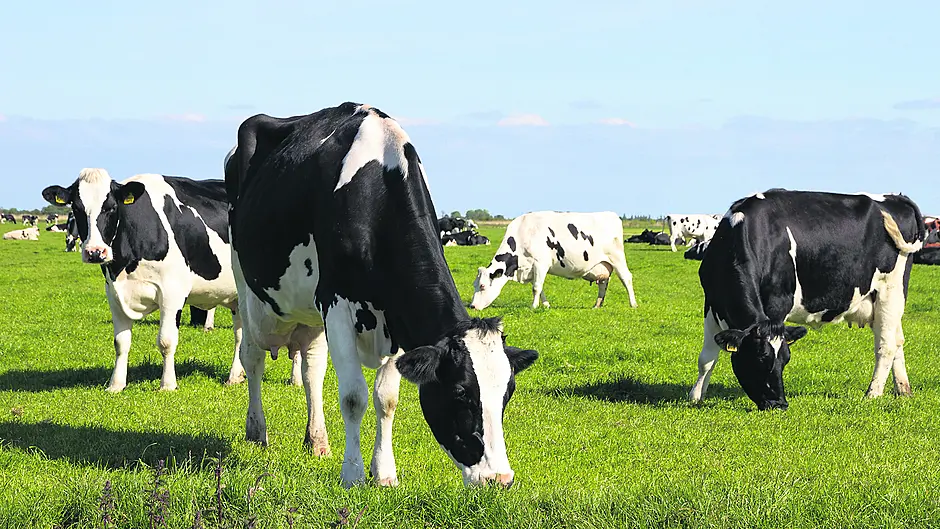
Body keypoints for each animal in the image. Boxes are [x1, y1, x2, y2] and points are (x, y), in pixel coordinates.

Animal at [41, 169, 247, 392]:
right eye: (77, 208)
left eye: (111, 207)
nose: (95, 252)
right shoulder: (114, 294)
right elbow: (120, 342)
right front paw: (116, 385)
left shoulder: (172, 292)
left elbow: (166, 341)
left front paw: (167, 385)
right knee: (241, 334)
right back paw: (235, 376)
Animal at [225, 102, 539, 488]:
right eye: (460, 393)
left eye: (508, 393)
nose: (500, 478)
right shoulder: (335, 303)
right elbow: (353, 396)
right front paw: (353, 474)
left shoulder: (398, 316)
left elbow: (386, 399)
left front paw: (384, 472)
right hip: (247, 286)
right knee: (252, 355)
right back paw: (257, 430)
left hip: (309, 311)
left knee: (312, 370)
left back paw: (317, 440)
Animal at [470, 211, 638, 310]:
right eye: (475, 285)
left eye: (483, 286)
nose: (472, 306)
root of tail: (611, 214)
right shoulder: (532, 268)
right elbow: (540, 288)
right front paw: (545, 304)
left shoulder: (540, 263)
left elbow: (536, 287)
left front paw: (533, 306)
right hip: (603, 264)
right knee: (603, 283)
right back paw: (597, 305)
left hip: (617, 258)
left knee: (627, 278)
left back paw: (633, 304)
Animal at [689, 189, 925, 411]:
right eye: (760, 358)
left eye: (785, 360)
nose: (779, 404)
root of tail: (895, 197)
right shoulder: (711, 303)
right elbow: (706, 358)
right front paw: (696, 397)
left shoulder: (778, 304)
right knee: (897, 340)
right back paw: (903, 390)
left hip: (891, 290)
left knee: (886, 345)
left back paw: (873, 393)